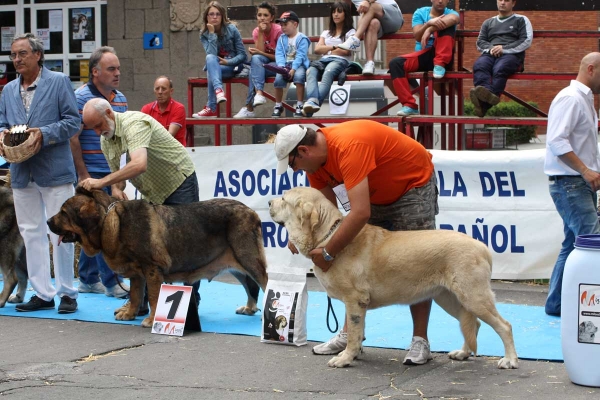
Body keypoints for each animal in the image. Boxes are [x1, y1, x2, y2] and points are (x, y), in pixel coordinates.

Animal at [48, 188, 268, 328]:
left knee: (265, 283)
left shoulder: (152, 270)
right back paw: (250, 308)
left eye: (64, 213)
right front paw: (130, 314)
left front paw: (151, 319)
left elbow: (154, 297)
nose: (48, 221)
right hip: (235, 264)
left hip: (248, 258)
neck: (111, 221)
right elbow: (136, 295)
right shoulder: (137, 275)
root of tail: (252, 212)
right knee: (251, 286)